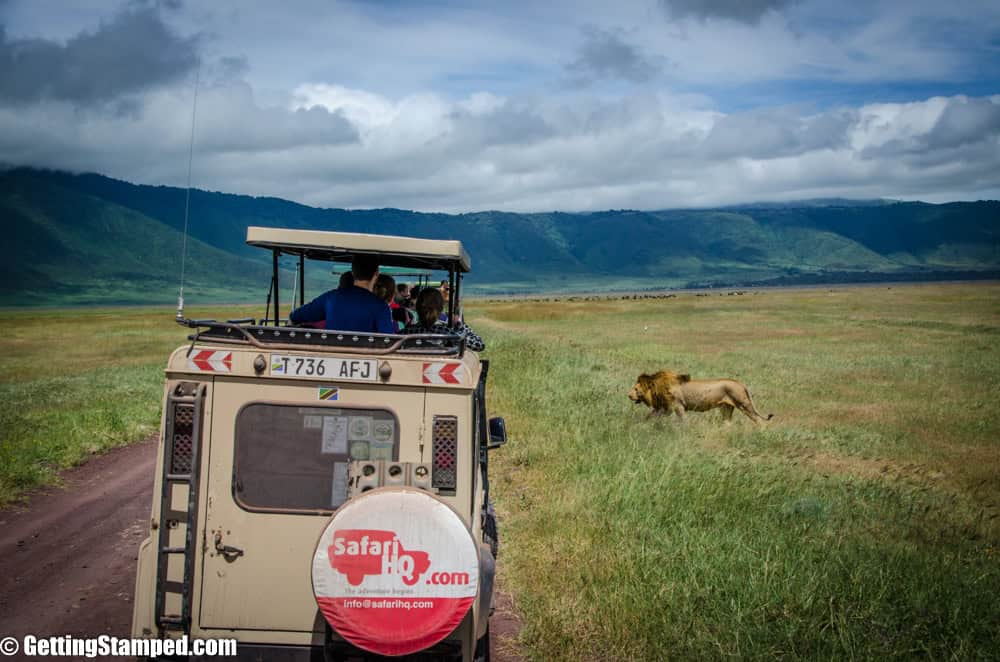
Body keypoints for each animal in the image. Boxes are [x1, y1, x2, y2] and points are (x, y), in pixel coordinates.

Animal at [624, 370, 772, 422]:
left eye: (635, 389)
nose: (628, 396)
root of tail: (740, 382)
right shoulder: (664, 408)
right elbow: (650, 416)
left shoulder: (677, 406)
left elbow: (683, 421)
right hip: (726, 408)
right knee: (727, 423)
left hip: (744, 404)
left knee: (757, 420)